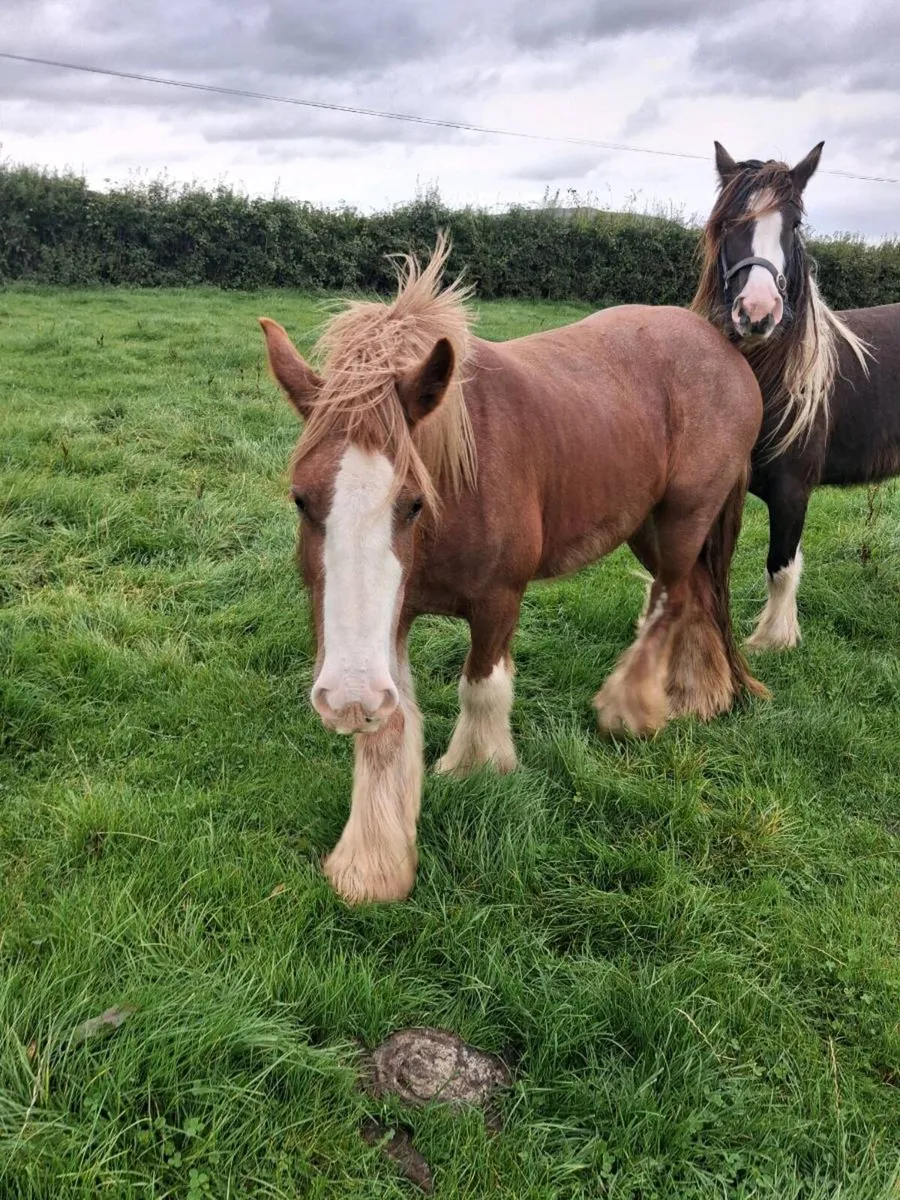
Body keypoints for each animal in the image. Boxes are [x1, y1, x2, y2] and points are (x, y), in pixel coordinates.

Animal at [259, 236, 766, 905]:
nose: (344, 699)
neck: (457, 486)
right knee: (699, 596)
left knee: (673, 600)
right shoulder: (390, 623)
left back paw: (630, 708)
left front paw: (476, 770)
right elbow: (388, 728)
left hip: (685, 517)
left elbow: (481, 687)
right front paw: (373, 864)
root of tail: (721, 345)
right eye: (300, 499)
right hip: (649, 526)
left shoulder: (499, 598)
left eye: (412, 503)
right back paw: (698, 695)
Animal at [692, 141, 898, 651]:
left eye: (795, 225)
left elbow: (780, 567)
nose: (758, 311)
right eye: (729, 222)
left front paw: (772, 640)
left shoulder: (792, 491)